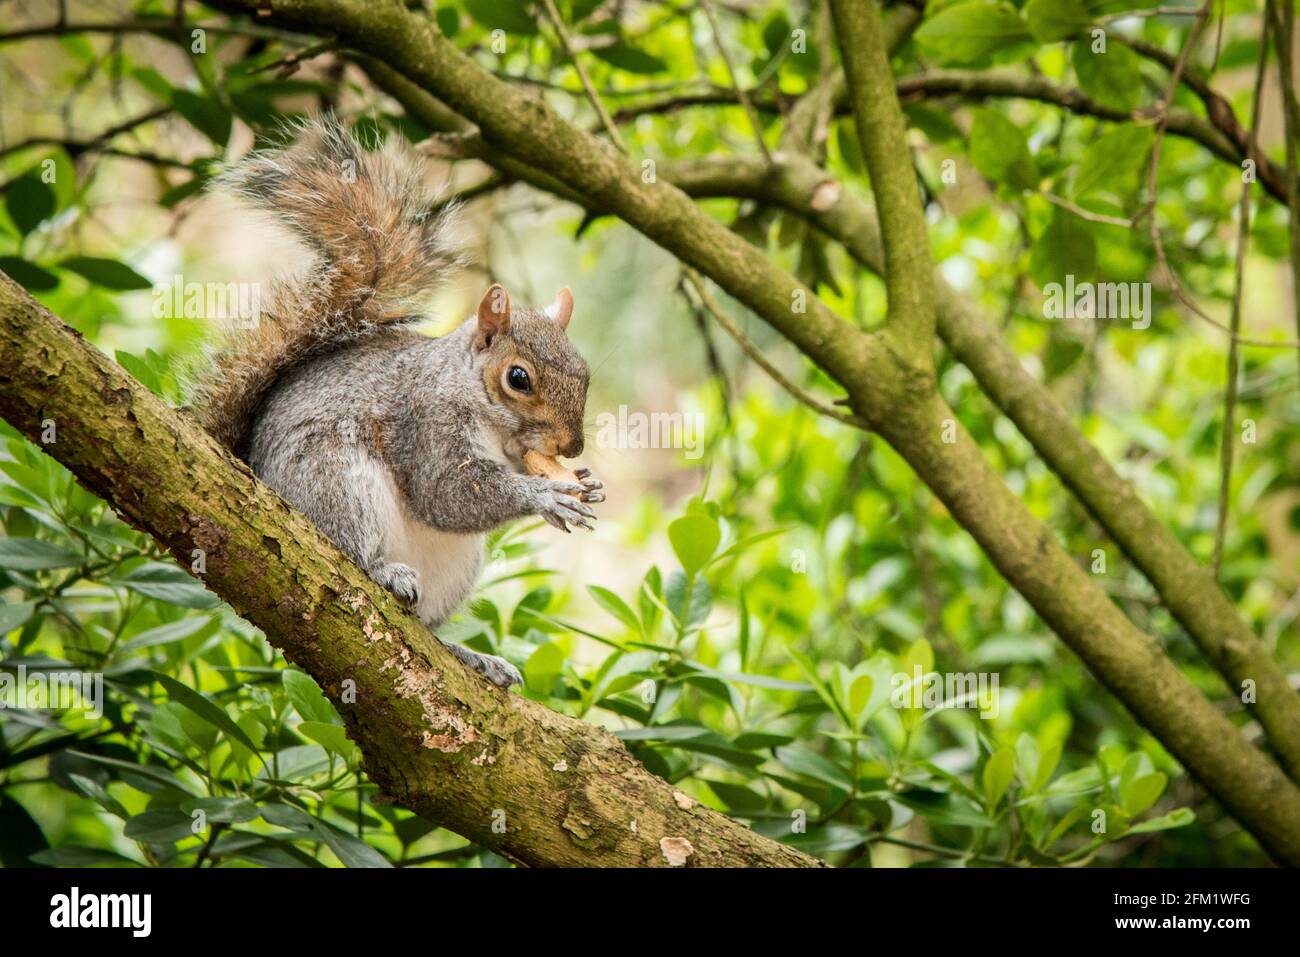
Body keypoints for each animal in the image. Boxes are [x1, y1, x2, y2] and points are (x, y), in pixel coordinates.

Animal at [189, 119, 603, 686]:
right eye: (518, 378)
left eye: (585, 371)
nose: (574, 446)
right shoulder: (423, 420)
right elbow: (446, 493)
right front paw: (546, 495)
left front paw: (583, 483)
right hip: (333, 480)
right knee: (351, 550)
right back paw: (383, 571)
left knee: (423, 628)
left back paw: (469, 656)